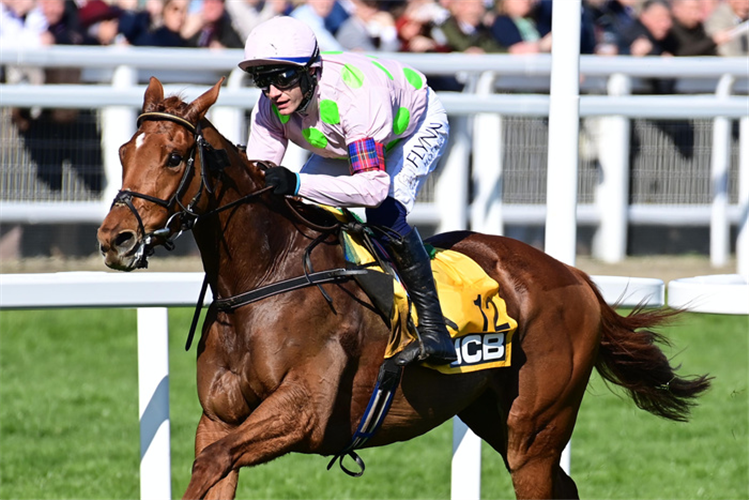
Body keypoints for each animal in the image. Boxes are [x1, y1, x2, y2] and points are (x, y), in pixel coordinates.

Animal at [96, 78, 712, 500]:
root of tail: (576, 276)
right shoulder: (219, 419)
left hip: (535, 429)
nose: (115, 239)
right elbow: (212, 464)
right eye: (125, 152)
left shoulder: (304, 412)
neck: (265, 279)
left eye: (175, 157)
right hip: (489, 412)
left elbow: (214, 462)